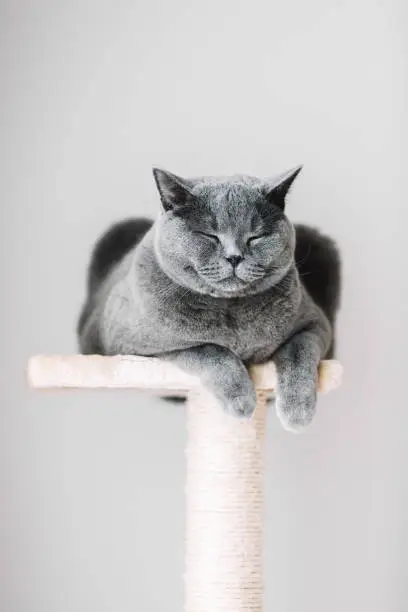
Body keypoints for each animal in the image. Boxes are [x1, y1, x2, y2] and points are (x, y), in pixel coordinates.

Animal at [77, 169, 342, 430]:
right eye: (209, 235)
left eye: (256, 237)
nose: (234, 257)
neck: (230, 308)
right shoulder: (131, 346)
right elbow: (211, 350)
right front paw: (242, 401)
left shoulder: (315, 324)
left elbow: (299, 353)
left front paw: (298, 412)